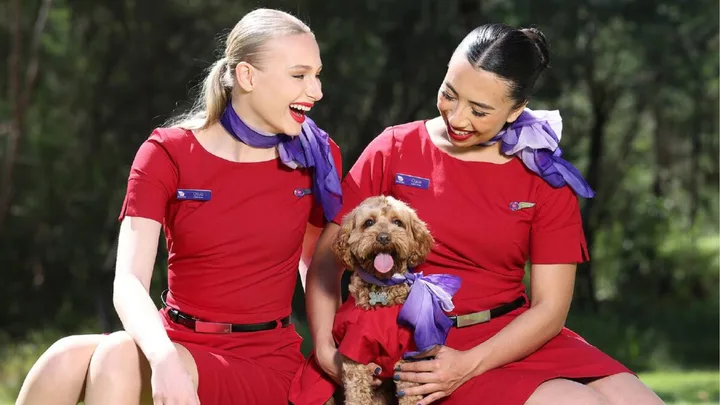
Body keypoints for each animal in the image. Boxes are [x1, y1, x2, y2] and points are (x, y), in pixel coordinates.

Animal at [332, 194, 434, 402]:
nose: (384, 237)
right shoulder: (356, 351)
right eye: (368, 223)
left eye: (397, 222)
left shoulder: (406, 357)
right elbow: (357, 396)